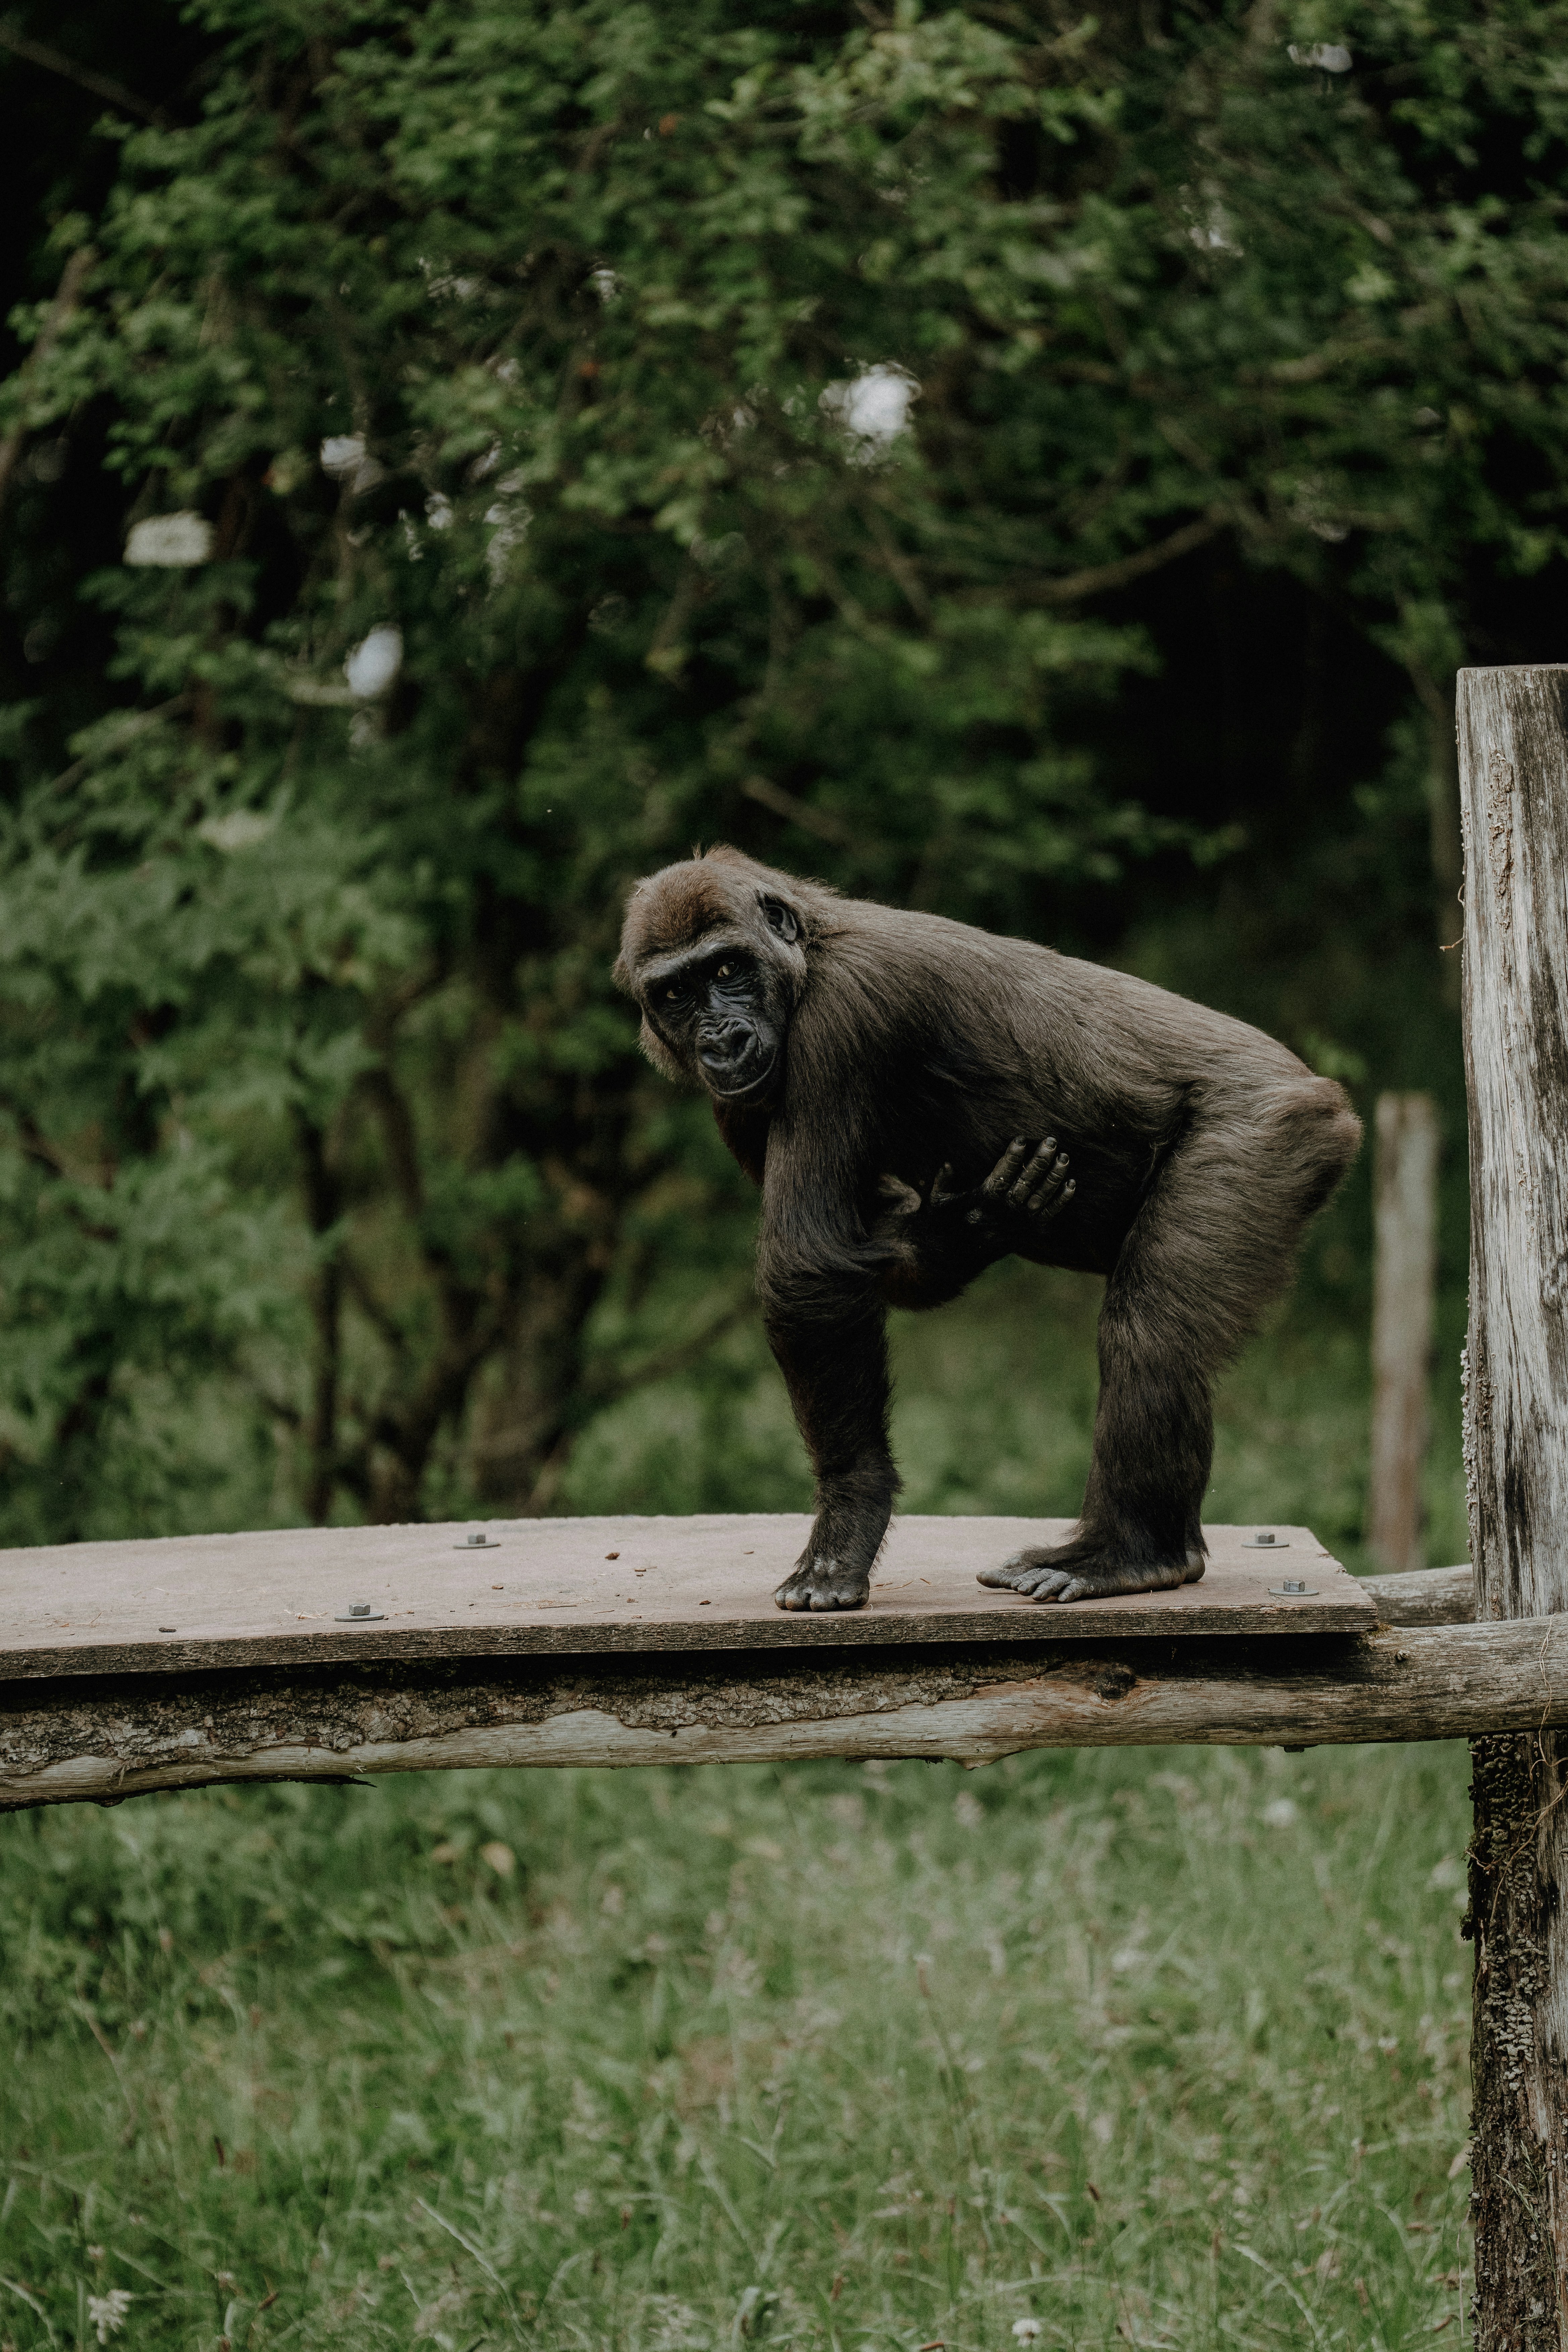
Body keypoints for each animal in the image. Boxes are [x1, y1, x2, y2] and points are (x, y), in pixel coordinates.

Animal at [613, 847, 1360, 1613]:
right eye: (675, 994)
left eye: (726, 971)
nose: (721, 1041)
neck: (808, 952)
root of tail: (1324, 1096)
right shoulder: (734, 1101)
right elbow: (876, 1250)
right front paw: (967, 1229)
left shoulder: (842, 1017)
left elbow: (809, 1267)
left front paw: (849, 1514)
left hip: (1270, 1131)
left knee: (1152, 1336)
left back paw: (1129, 1551)